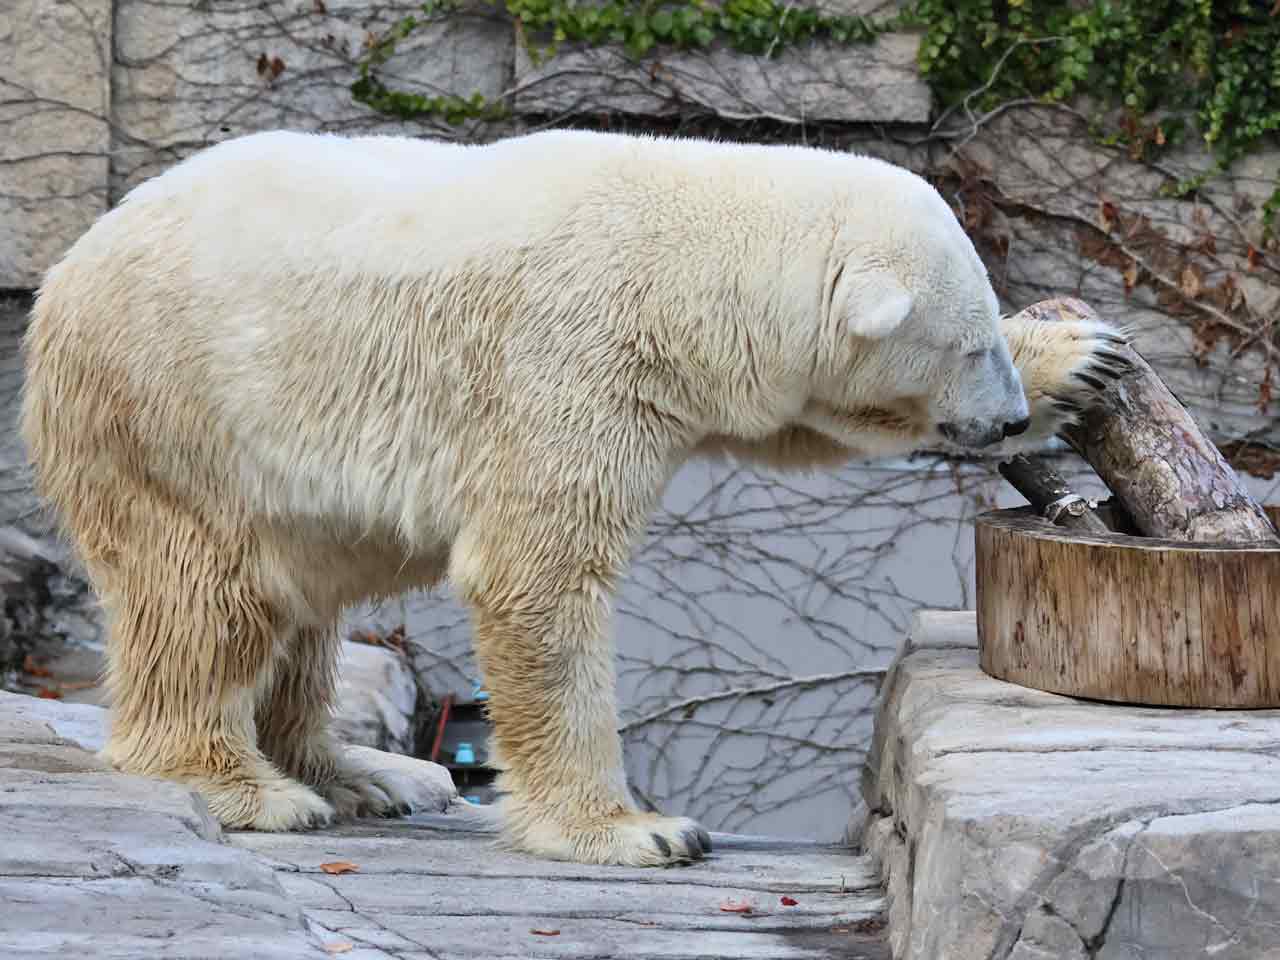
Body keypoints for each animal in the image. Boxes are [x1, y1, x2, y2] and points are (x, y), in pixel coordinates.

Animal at [17, 126, 1121, 865]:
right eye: (964, 346)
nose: (997, 419)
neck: (683, 256)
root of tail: (68, 267)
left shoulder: (704, 377)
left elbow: (805, 425)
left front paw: (1080, 357)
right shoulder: (568, 356)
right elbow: (540, 573)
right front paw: (639, 830)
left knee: (301, 610)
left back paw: (368, 773)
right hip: (180, 411)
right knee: (212, 597)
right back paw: (250, 787)